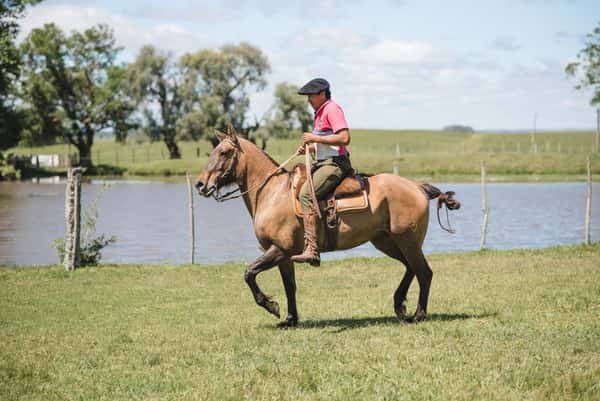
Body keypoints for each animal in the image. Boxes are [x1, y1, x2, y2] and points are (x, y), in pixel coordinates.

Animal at [196, 130, 460, 326]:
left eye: (224, 152)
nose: (200, 184)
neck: (272, 193)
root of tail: (418, 187)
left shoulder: (280, 249)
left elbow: (249, 273)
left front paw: (272, 306)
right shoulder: (283, 255)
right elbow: (289, 285)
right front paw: (290, 319)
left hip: (407, 240)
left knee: (424, 272)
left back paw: (417, 314)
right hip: (387, 241)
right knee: (411, 268)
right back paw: (400, 305)